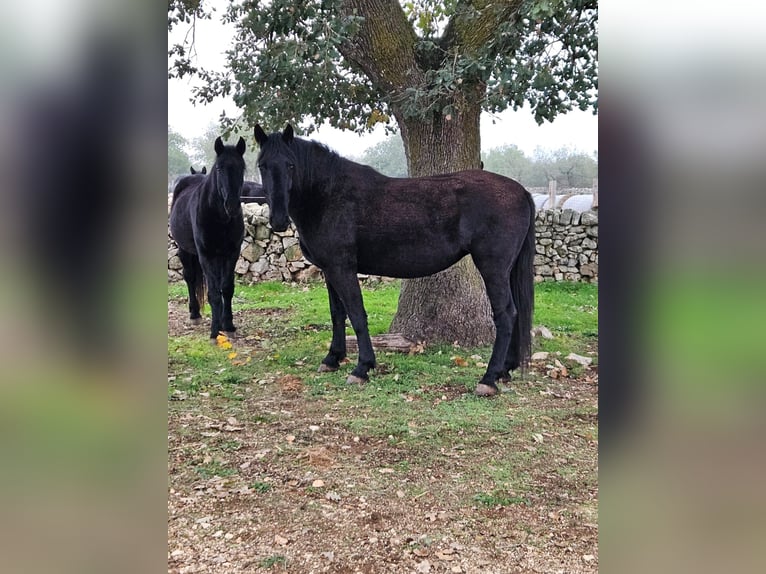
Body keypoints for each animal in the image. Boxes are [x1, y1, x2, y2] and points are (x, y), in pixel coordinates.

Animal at [169, 137, 247, 339]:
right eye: (219, 168)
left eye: (242, 167)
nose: (232, 206)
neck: (219, 217)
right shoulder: (206, 255)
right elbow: (213, 293)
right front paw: (214, 331)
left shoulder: (231, 253)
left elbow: (226, 288)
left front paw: (228, 325)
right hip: (185, 250)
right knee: (189, 277)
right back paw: (194, 314)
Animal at [253, 124, 535, 397]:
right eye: (262, 165)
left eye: (290, 165)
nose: (278, 221)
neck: (328, 196)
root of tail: (521, 191)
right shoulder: (329, 270)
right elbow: (337, 314)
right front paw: (332, 359)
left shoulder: (342, 269)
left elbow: (357, 314)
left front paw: (362, 368)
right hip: (506, 270)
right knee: (515, 313)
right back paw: (504, 370)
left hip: (493, 268)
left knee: (506, 314)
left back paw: (488, 379)